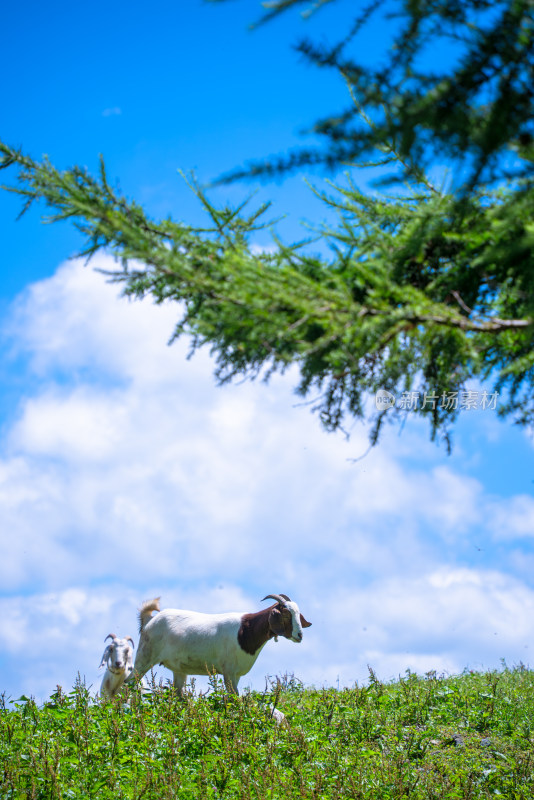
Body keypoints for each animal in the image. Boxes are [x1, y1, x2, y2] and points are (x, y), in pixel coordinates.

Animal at [128, 592, 312, 696]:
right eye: (286, 614)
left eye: (298, 615)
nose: (299, 635)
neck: (246, 630)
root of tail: (149, 621)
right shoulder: (228, 671)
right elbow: (234, 698)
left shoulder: (237, 674)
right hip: (144, 657)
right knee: (129, 684)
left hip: (178, 669)